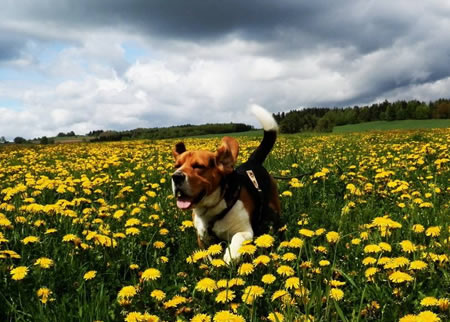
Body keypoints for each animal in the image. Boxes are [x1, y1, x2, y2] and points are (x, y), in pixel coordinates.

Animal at [171, 107, 280, 262]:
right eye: (177, 166)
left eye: (198, 166)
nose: (176, 176)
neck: (212, 211)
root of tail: (252, 161)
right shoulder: (202, 237)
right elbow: (207, 253)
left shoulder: (245, 230)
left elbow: (238, 237)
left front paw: (231, 254)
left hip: (274, 204)